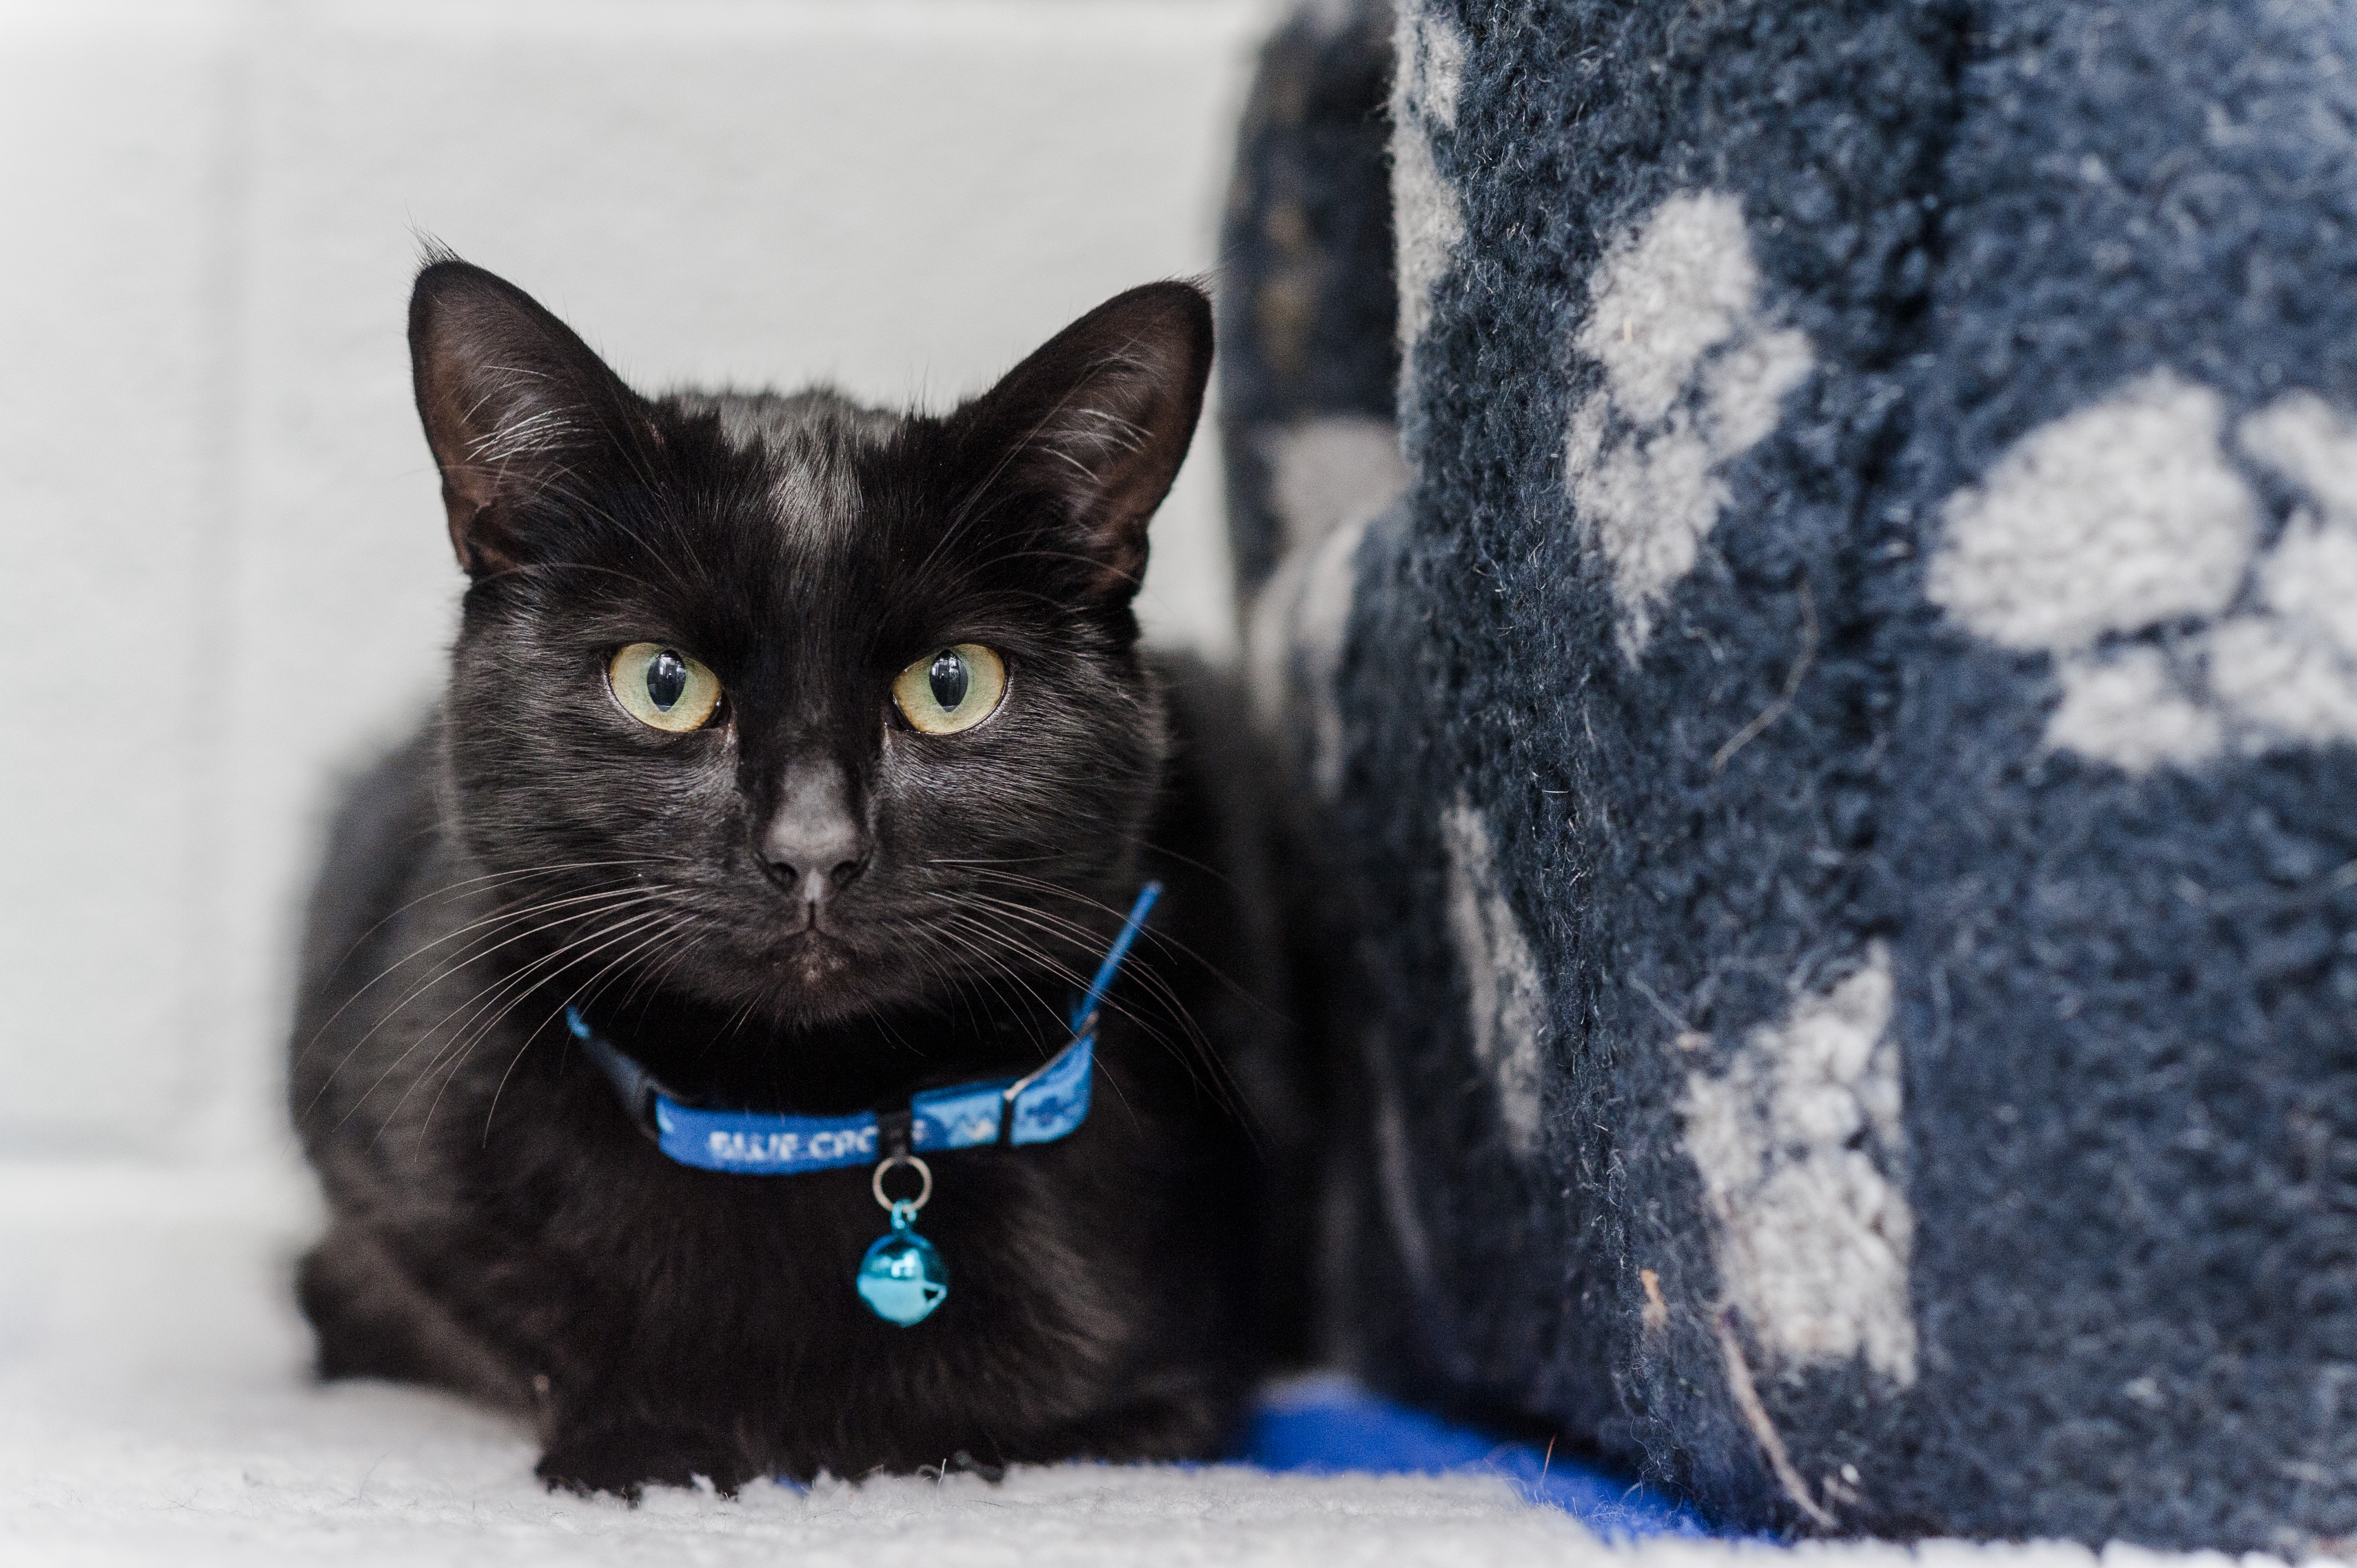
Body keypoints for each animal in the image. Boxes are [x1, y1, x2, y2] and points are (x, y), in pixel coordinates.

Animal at [292, 257, 1301, 1490]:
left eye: (952, 684)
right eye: (662, 682)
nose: (814, 849)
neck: (787, 1116)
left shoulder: (1174, 1393)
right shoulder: (369, 1231)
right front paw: (641, 1443)